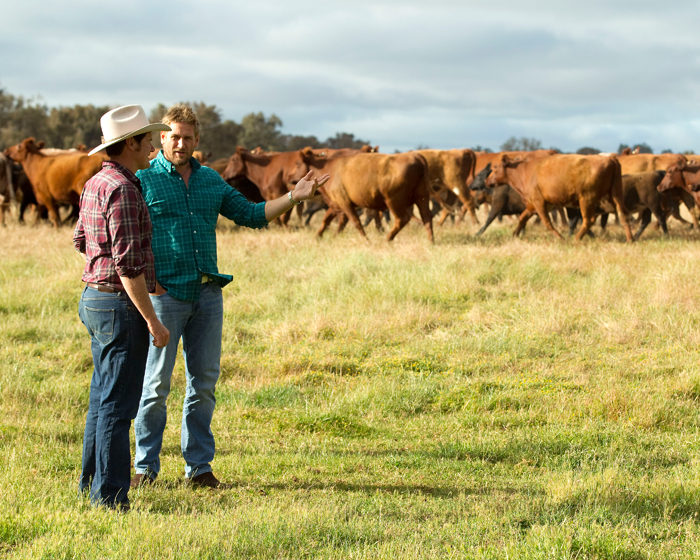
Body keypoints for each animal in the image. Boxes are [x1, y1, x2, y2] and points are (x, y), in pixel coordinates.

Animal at [486, 153, 636, 241]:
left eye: (495, 167)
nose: (486, 181)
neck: (524, 170)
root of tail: (609, 158)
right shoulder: (535, 204)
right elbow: (523, 218)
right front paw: (515, 234)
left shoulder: (538, 201)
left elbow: (547, 222)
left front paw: (560, 238)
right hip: (615, 195)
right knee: (623, 215)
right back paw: (630, 239)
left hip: (586, 199)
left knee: (589, 220)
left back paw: (576, 239)